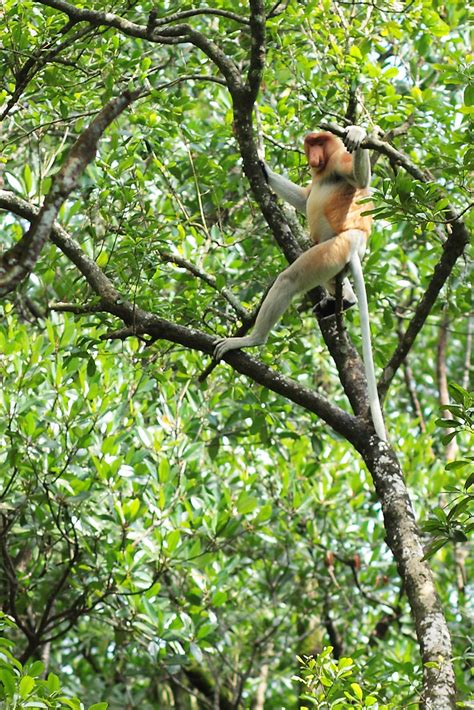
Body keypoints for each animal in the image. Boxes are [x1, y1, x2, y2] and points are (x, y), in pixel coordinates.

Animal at [213, 125, 386, 442]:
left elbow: (359, 180)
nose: (314, 156)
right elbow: (305, 198)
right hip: (333, 259)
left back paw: (252, 339)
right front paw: (262, 166)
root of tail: (358, 241)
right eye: (310, 144)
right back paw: (343, 300)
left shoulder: (338, 162)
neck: (324, 167)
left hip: (332, 249)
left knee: (289, 280)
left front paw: (357, 133)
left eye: (319, 143)